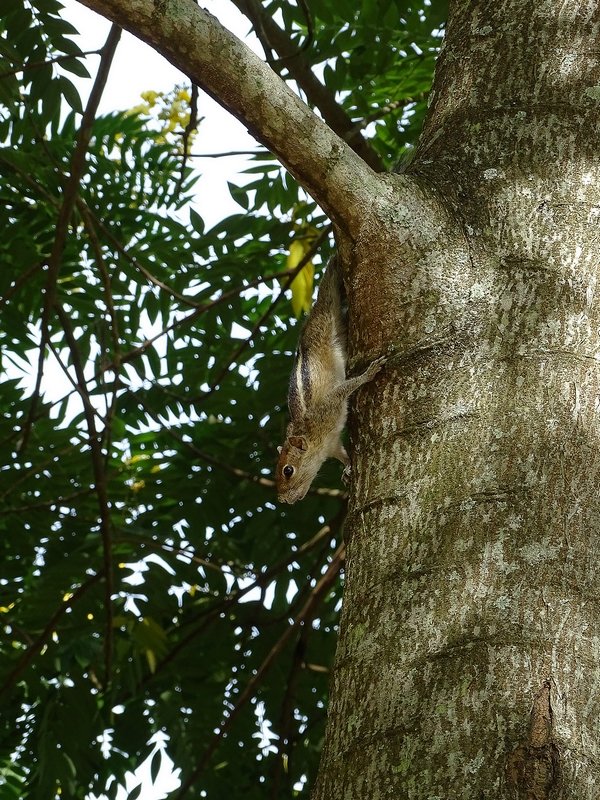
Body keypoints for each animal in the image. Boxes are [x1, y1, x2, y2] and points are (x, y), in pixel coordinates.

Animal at [276, 256, 386, 504]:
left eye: (288, 470)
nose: (282, 500)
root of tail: (315, 310)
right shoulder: (333, 443)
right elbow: (343, 454)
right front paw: (347, 470)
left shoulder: (329, 406)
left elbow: (346, 388)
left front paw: (368, 373)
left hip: (329, 324)